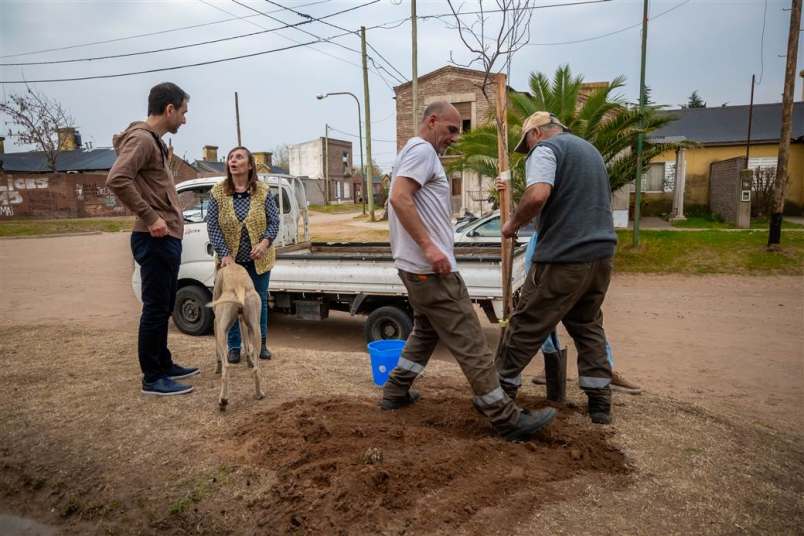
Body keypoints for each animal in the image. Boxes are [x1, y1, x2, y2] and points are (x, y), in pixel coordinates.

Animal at [209, 264, 266, 410]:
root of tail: (239, 286)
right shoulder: (243, 322)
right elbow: (246, 345)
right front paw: (249, 361)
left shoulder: (215, 324)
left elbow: (217, 354)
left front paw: (216, 368)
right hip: (256, 328)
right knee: (257, 369)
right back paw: (259, 394)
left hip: (222, 331)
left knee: (226, 367)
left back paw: (223, 400)